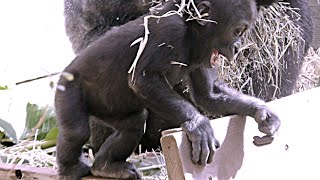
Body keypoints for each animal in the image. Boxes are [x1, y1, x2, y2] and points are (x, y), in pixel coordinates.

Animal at [55, 0, 280, 179]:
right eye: (237, 31)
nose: (237, 47)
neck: (191, 31)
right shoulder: (170, 29)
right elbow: (143, 79)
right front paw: (198, 124)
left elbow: (209, 95)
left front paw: (262, 112)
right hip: (67, 90)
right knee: (76, 132)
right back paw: (71, 170)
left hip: (110, 110)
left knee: (133, 124)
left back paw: (104, 166)